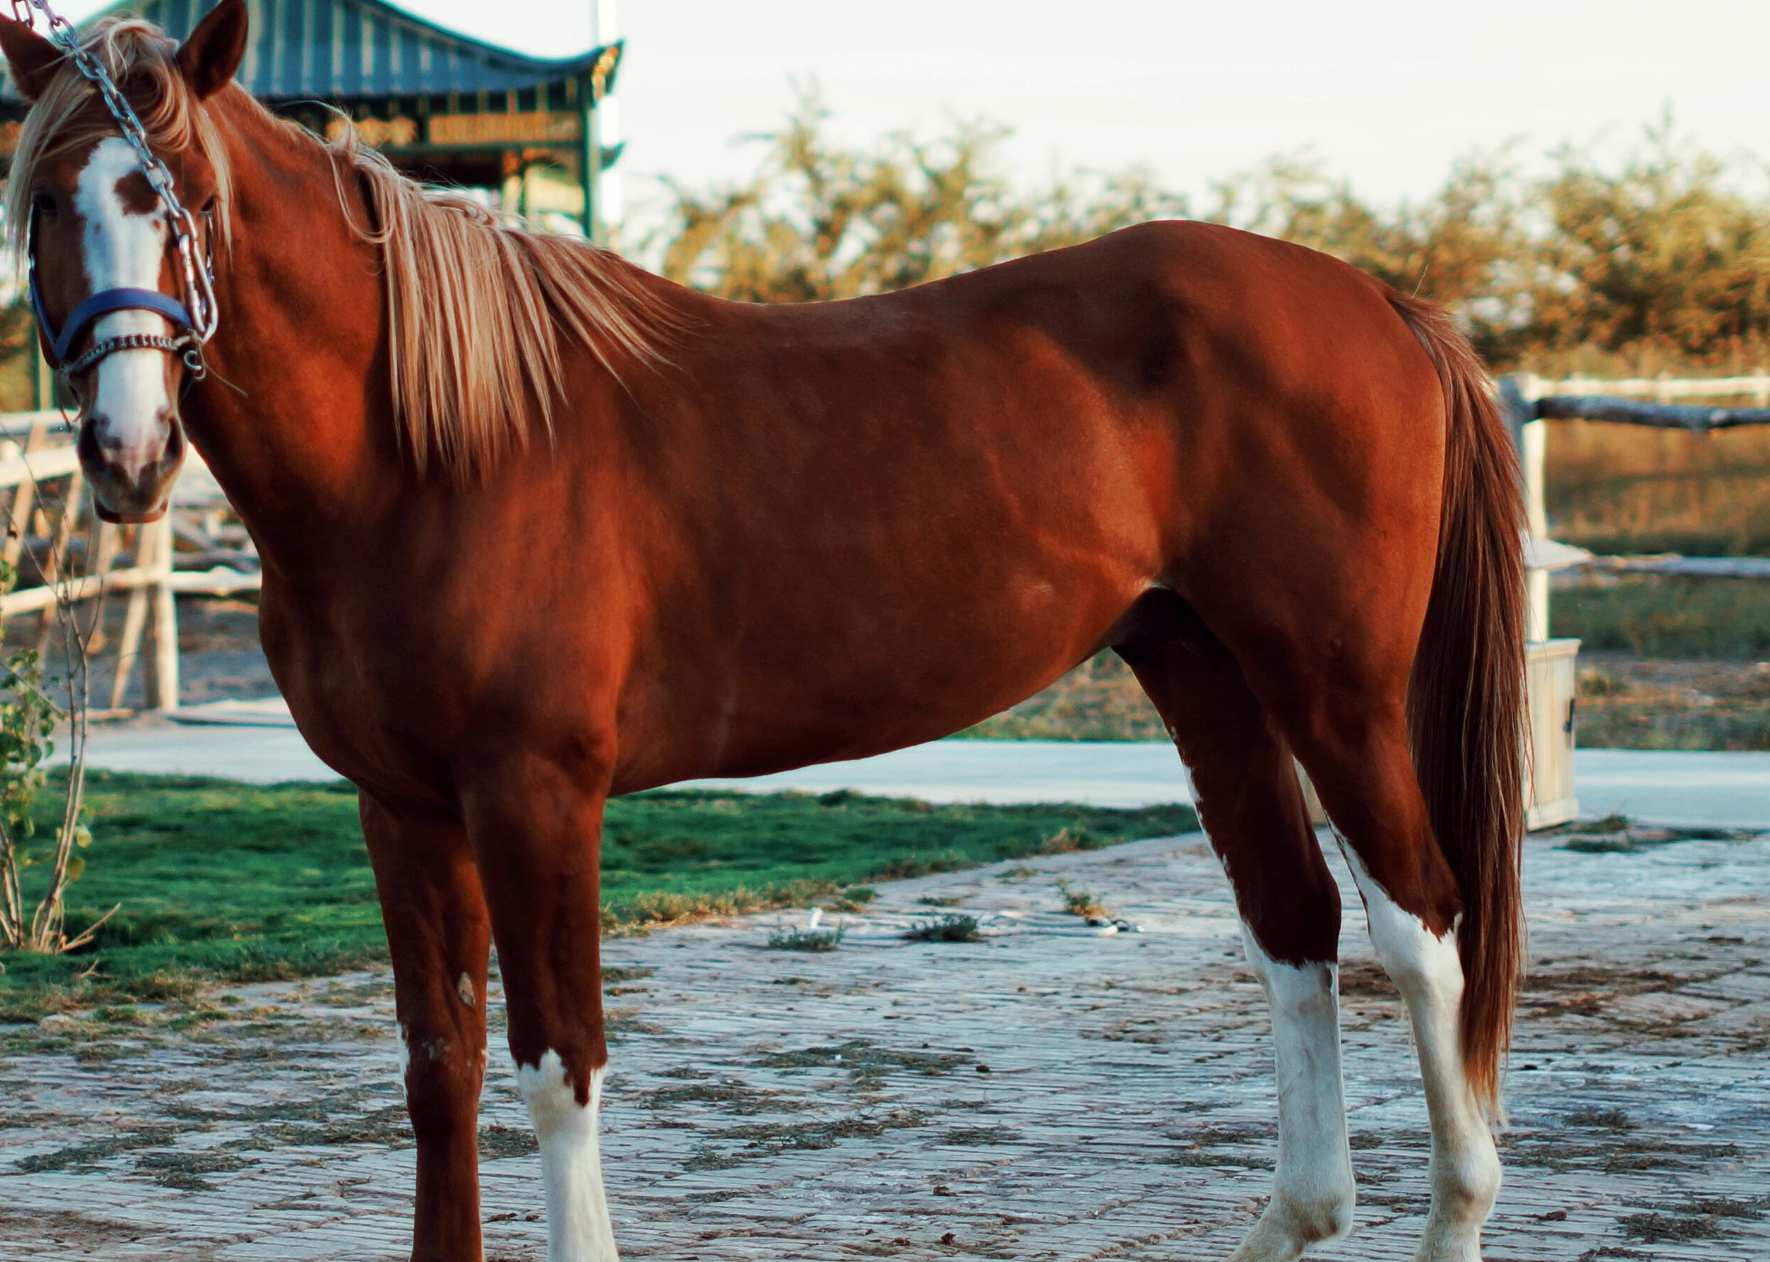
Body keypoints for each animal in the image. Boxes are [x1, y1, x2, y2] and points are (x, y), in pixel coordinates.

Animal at [0, 4, 1522, 1253]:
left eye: (188, 200)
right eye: (46, 207)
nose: (126, 456)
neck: (429, 452)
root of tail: (1379, 299)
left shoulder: (536, 794)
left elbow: (557, 1068)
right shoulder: (403, 805)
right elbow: (440, 1068)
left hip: (1334, 690)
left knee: (1421, 924)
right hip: (1201, 668)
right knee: (1293, 921)